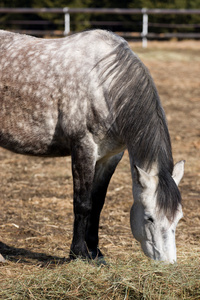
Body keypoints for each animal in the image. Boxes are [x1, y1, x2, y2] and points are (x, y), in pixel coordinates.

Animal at [0, 28, 184, 262]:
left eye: (178, 218)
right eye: (149, 217)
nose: (167, 263)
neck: (104, 86)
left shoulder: (110, 157)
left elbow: (97, 204)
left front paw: (96, 252)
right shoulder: (84, 148)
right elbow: (83, 203)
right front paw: (78, 253)